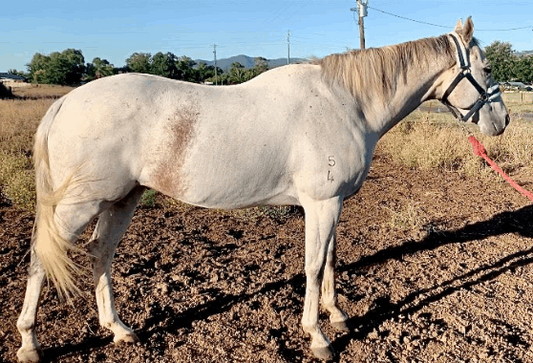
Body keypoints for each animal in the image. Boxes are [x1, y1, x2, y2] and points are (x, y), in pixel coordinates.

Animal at [16, 18, 508, 362]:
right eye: (485, 67)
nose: (501, 121)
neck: (344, 103)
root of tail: (66, 102)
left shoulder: (332, 204)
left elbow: (331, 259)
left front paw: (338, 315)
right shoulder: (320, 204)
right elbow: (313, 266)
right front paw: (317, 336)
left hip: (121, 200)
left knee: (100, 253)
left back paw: (119, 329)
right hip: (80, 205)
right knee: (43, 256)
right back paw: (29, 343)